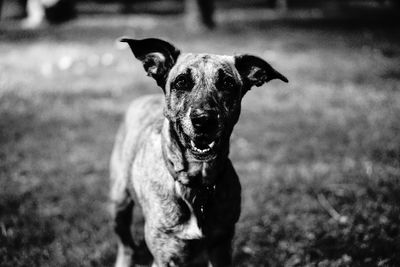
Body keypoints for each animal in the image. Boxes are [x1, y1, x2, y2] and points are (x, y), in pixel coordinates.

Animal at [109, 37, 288, 267]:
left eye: (227, 83)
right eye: (181, 82)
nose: (204, 119)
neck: (197, 182)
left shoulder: (222, 246)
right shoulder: (166, 254)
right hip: (119, 203)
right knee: (126, 245)